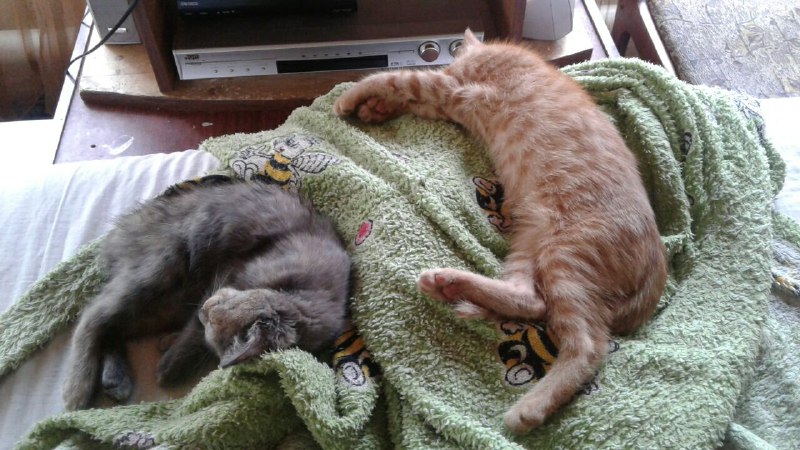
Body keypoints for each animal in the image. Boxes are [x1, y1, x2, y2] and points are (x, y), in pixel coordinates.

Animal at [62, 179, 351, 410]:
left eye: (214, 319)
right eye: (221, 304)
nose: (205, 309)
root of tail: (121, 227)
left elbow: (194, 339)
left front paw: (169, 353)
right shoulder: (228, 276)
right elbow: (191, 336)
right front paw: (167, 369)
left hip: (164, 306)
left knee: (114, 326)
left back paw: (116, 379)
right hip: (159, 270)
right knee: (92, 316)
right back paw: (78, 391)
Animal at [334, 29, 667, 433]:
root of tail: (658, 269)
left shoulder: (453, 87)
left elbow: (396, 78)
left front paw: (351, 97)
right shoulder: (448, 101)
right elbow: (408, 94)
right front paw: (375, 109)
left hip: (567, 257)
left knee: (588, 345)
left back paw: (531, 407)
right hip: (528, 244)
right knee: (531, 300)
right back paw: (451, 285)